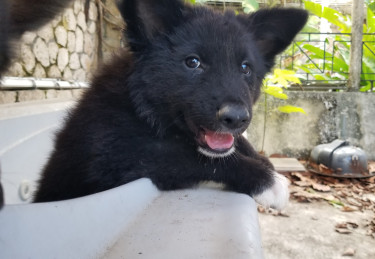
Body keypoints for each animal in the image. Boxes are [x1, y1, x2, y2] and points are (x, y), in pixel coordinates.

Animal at [33, 0, 308, 210]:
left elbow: (234, 144)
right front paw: (268, 181)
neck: (141, 107)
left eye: (245, 68)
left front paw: (264, 162)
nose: (237, 118)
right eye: (193, 62)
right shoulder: (115, 156)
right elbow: (196, 158)